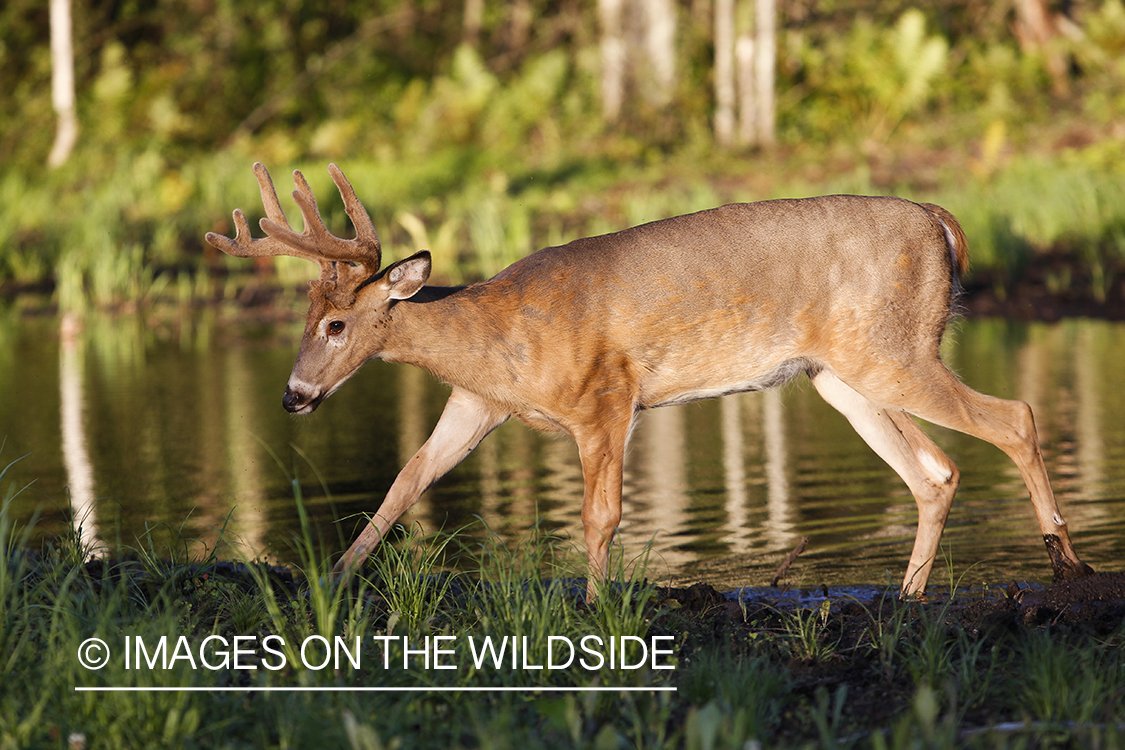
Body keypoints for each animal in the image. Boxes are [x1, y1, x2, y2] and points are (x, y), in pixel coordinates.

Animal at [205, 162, 1095, 600]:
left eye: (335, 325)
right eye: (302, 317)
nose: (292, 395)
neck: (492, 332)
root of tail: (938, 220)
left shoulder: (605, 396)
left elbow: (600, 517)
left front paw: (594, 607)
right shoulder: (478, 403)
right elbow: (403, 484)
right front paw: (331, 583)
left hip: (893, 351)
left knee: (1013, 417)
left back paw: (1063, 560)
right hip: (841, 374)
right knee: (934, 471)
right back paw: (908, 597)